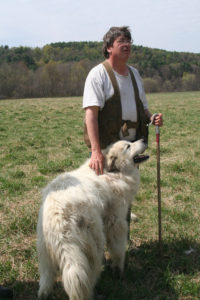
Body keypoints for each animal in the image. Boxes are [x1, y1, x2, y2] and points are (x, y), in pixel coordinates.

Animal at [36, 139, 148, 298]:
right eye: (128, 146)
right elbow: (118, 249)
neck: (113, 172)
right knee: (88, 278)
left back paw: (44, 294)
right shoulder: (116, 222)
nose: (144, 140)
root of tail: (59, 217)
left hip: (45, 252)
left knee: (46, 281)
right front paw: (119, 269)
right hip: (94, 245)